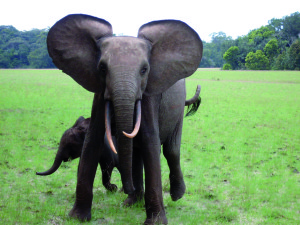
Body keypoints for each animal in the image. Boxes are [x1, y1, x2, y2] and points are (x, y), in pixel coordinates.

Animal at [46, 14, 202, 225]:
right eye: (102, 68)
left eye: (144, 70)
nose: (123, 188)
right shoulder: (99, 93)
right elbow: (91, 142)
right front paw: (77, 217)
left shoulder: (149, 94)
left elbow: (151, 143)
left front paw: (155, 222)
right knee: (136, 153)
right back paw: (132, 202)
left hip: (177, 110)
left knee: (171, 150)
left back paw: (175, 196)